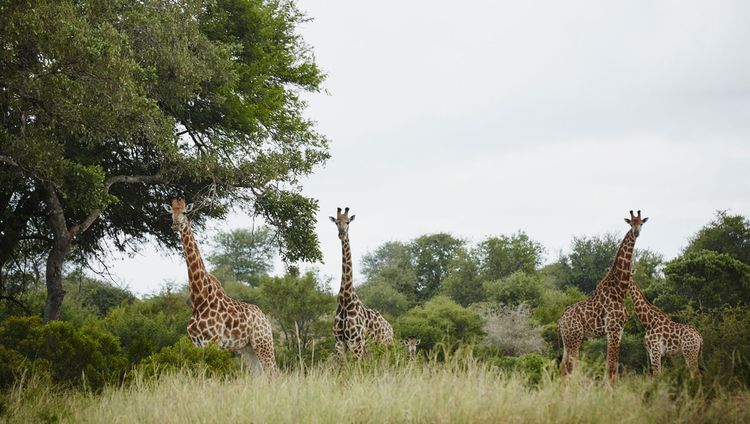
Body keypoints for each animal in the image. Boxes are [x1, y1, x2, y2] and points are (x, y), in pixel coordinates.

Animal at [166, 197, 278, 372]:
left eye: (184, 212)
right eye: (171, 212)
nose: (175, 225)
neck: (199, 300)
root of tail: (265, 318)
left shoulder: (213, 341)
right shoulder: (197, 343)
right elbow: (201, 370)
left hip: (263, 343)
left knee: (274, 371)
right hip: (247, 348)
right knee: (258, 374)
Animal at [332, 207, 396, 360]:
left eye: (348, 222)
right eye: (336, 222)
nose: (341, 234)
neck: (345, 300)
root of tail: (391, 329)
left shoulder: (356, 343)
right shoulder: (339, 343)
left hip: (384, 347)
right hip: (373, 350)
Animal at [560, 210, 648, 382]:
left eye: (641, 223)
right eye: (631, 223)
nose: (636, 233)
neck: (619, 291)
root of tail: (560, 321)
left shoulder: (619, 331)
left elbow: (613, 364)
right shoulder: (613, 329)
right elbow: (612, 366)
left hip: (567, 340)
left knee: (563, 367)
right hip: (575, 337)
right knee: (571, 367)